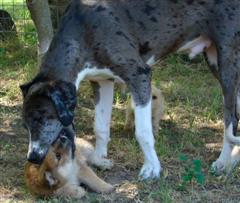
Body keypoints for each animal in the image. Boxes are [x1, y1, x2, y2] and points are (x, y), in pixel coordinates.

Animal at [20, 0, 240, 180]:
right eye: (25, 125)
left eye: (42, 118)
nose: (32, 157)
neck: (83, 28)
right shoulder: (102, 82)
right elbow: (100, 127)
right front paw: (99, 159)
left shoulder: (139, 77)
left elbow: (143, 132)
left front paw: (152, 168)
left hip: (227, 64)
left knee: (230, 119)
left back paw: (223, 161)